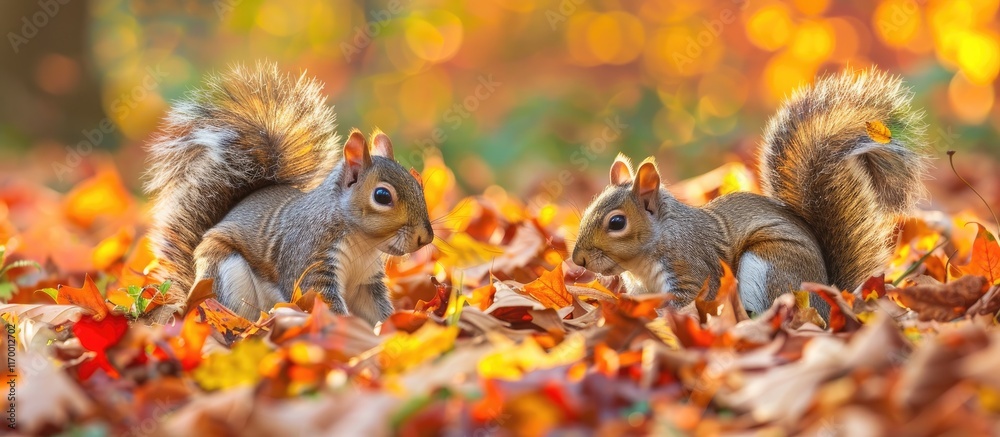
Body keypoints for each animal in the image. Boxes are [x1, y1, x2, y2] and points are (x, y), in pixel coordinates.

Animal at [143, 63, 434, 325]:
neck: (361, 242)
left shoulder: (365, 281)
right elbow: (324, 302)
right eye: (382, 196)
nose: (426, 238)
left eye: (417, 183)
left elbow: (376, 310)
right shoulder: (310, 260)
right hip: (226, 274)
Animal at [572, 69, 929, 316]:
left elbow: (685, 304)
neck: (646, 259)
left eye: (617, 223)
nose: (578, 259)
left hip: (768, 266)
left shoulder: (692, 272)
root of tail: (827, 299)